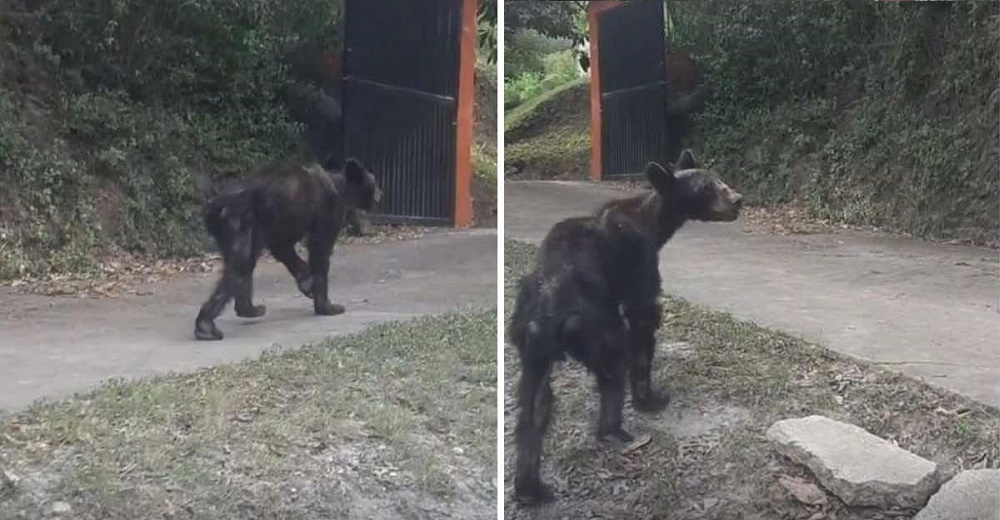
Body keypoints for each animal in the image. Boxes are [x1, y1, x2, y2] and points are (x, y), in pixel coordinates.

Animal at [193, 157, 380, 342]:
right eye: (373, 180)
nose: (380, 191)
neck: (341, 187)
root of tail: (216, 205)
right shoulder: (331, 212)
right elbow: (320, 250)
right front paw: (326, 306)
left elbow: (283, 247)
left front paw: (306, 281)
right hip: (239, 221)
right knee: (240, 266)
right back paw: (206, 326)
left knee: (243, 264)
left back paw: (247, 309)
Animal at [512, 149, 740, 504]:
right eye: (706, 188)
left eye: (719, 179)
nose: (737, 200)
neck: (654, 220)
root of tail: (547, 312)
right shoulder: (639, 262)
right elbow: (644, 320)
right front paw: (650, 397)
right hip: (597, 328)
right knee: (613, 364)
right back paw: (615, 429)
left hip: (531, 345)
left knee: (534, 406)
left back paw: (530, 488)